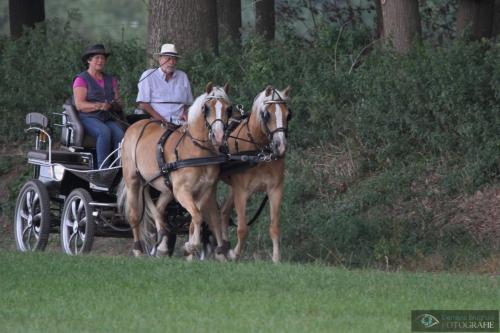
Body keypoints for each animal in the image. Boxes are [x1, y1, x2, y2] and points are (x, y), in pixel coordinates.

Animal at [120, 82, 231, 256]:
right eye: (206, 108)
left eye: (228, 108)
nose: (218, 136)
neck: (197, 151)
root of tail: (134, 126)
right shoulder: (181, 191)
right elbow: (197, 216)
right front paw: (192, 246)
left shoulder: (205, 190)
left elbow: (197, 216)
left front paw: (190, 246)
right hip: (133, 180)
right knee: (134, 215)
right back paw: (138, 250)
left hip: (165, 188)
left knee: (159, 210)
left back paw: (162, 246)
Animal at [221, 85, 292, 262]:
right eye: (267, 115)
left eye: (289, 114)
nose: (281, 146)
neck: (258, 152)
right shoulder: (241, 192)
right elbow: (242, 229)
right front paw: (235, 254)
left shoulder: (275, 190)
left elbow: (274, 227)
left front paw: (276, 259)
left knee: (223, 212)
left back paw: (222, 248)